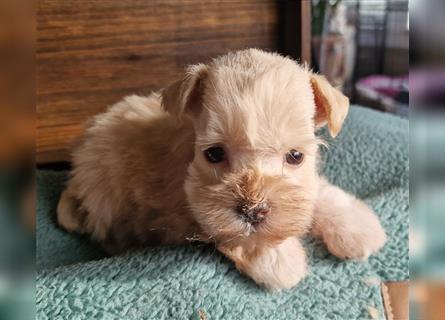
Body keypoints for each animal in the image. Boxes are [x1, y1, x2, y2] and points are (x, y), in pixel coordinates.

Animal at [58, 49, 386, 290]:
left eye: (295, 156)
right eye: (214, 153)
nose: (253, 211)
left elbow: (318, 192)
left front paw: (356, 226)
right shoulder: (193, 211)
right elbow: (242, 238)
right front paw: (282, 260)